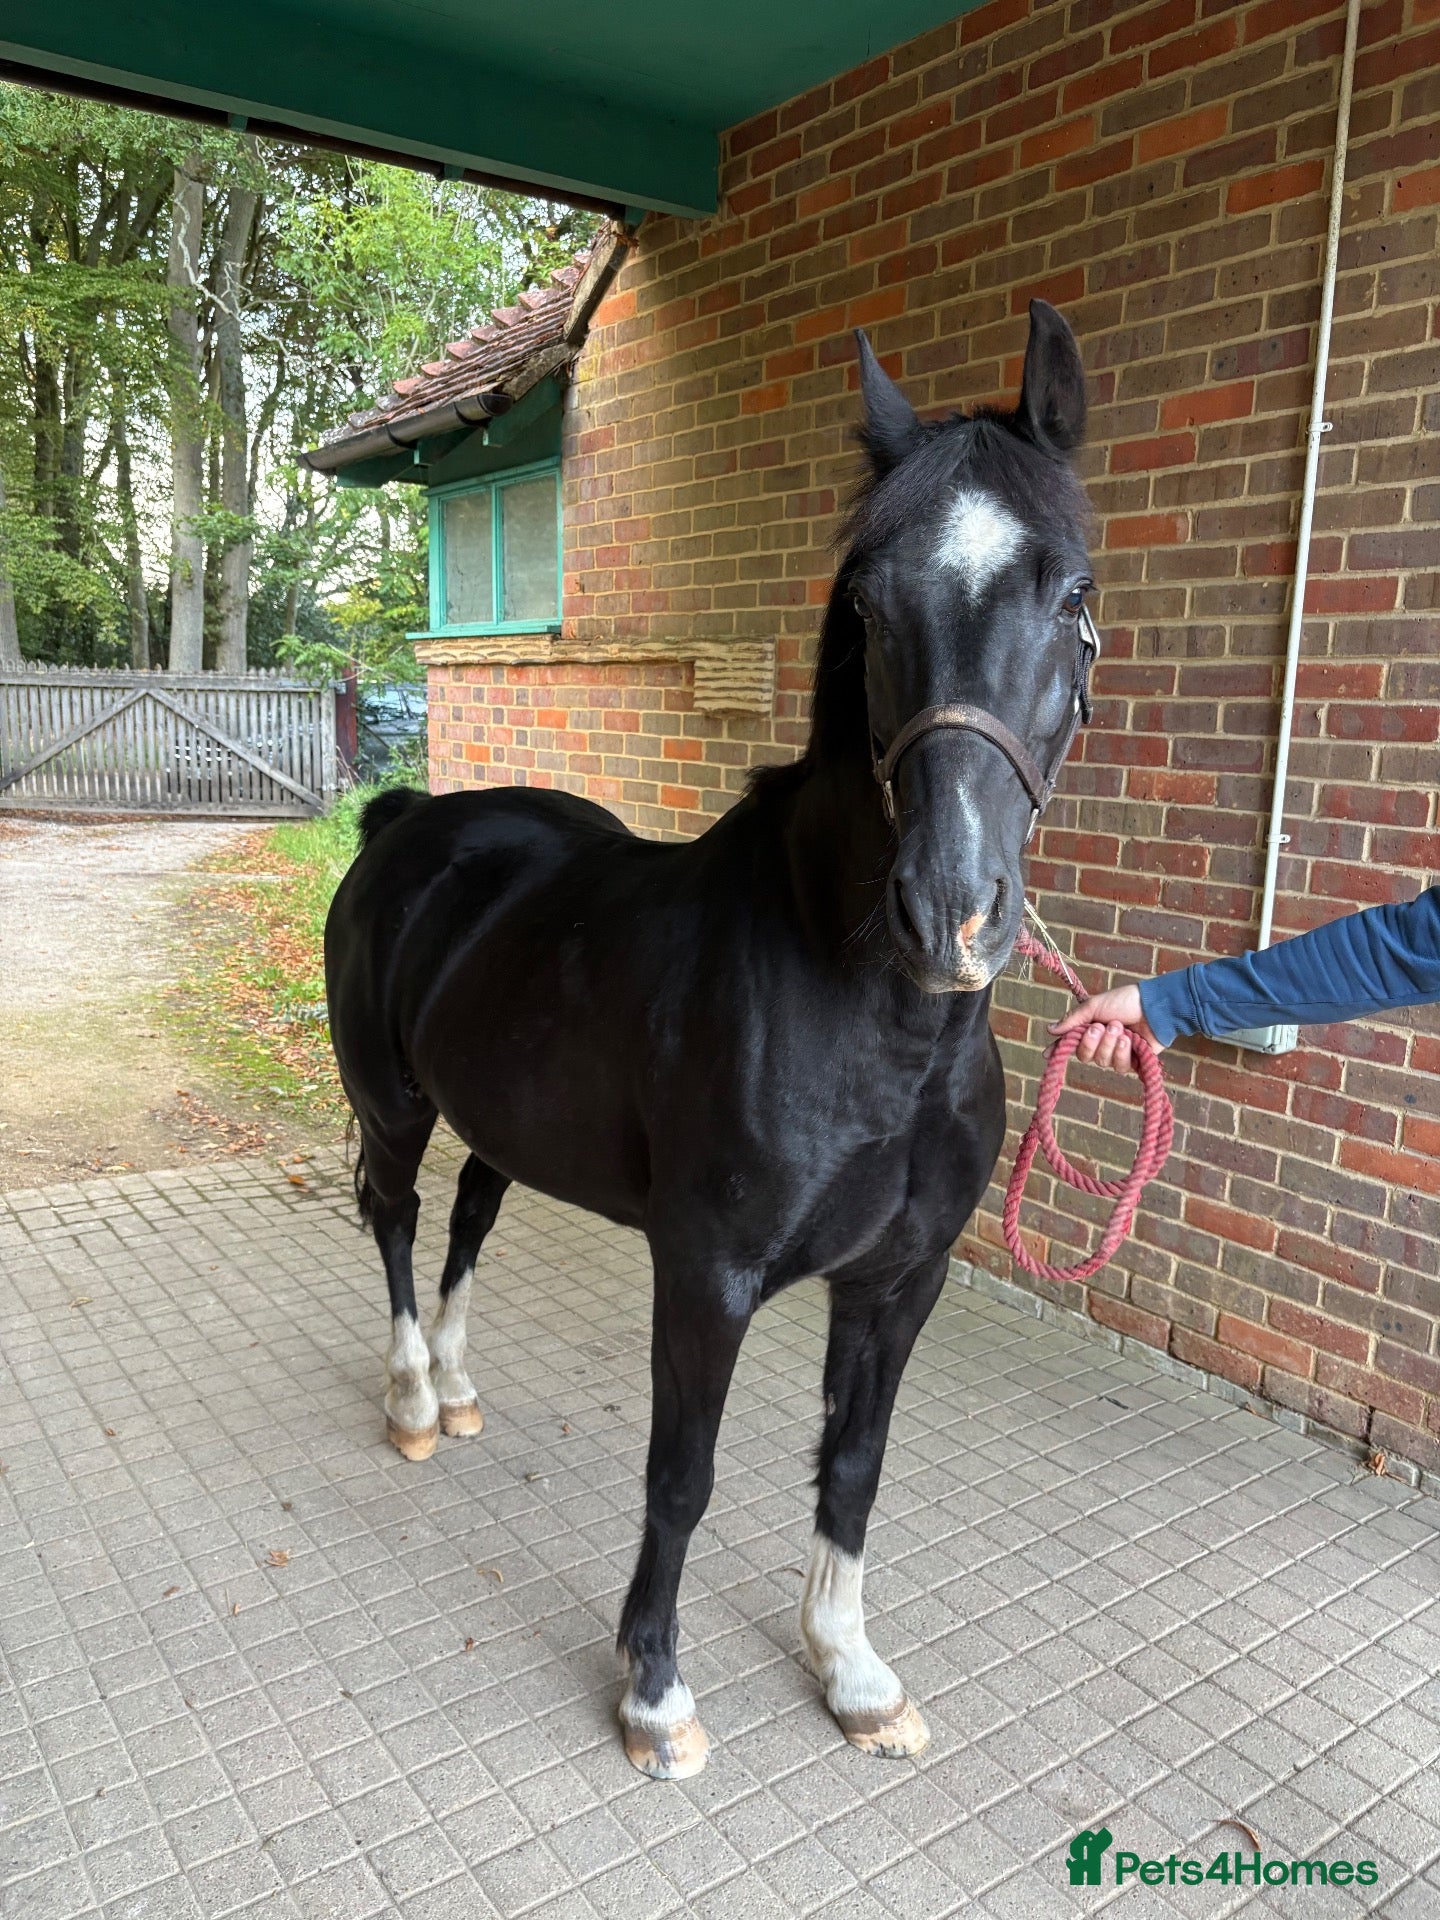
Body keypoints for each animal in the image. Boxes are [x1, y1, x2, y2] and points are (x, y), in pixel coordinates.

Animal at [324, 299, 1097, 1781]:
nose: (950, 911)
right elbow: (681, 1475)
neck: (875, 1026)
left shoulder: (901, 1282)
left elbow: (854, 1465)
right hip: (393, 1105)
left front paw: (851, 1670)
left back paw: (457, 1382)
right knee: (392, 1215)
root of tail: (408, 822)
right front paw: (655, 1692)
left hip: (504, 1117)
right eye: (869, 603)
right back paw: (410, 1399)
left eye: (1075, 596)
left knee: (467, 1216)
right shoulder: (708, 1276)